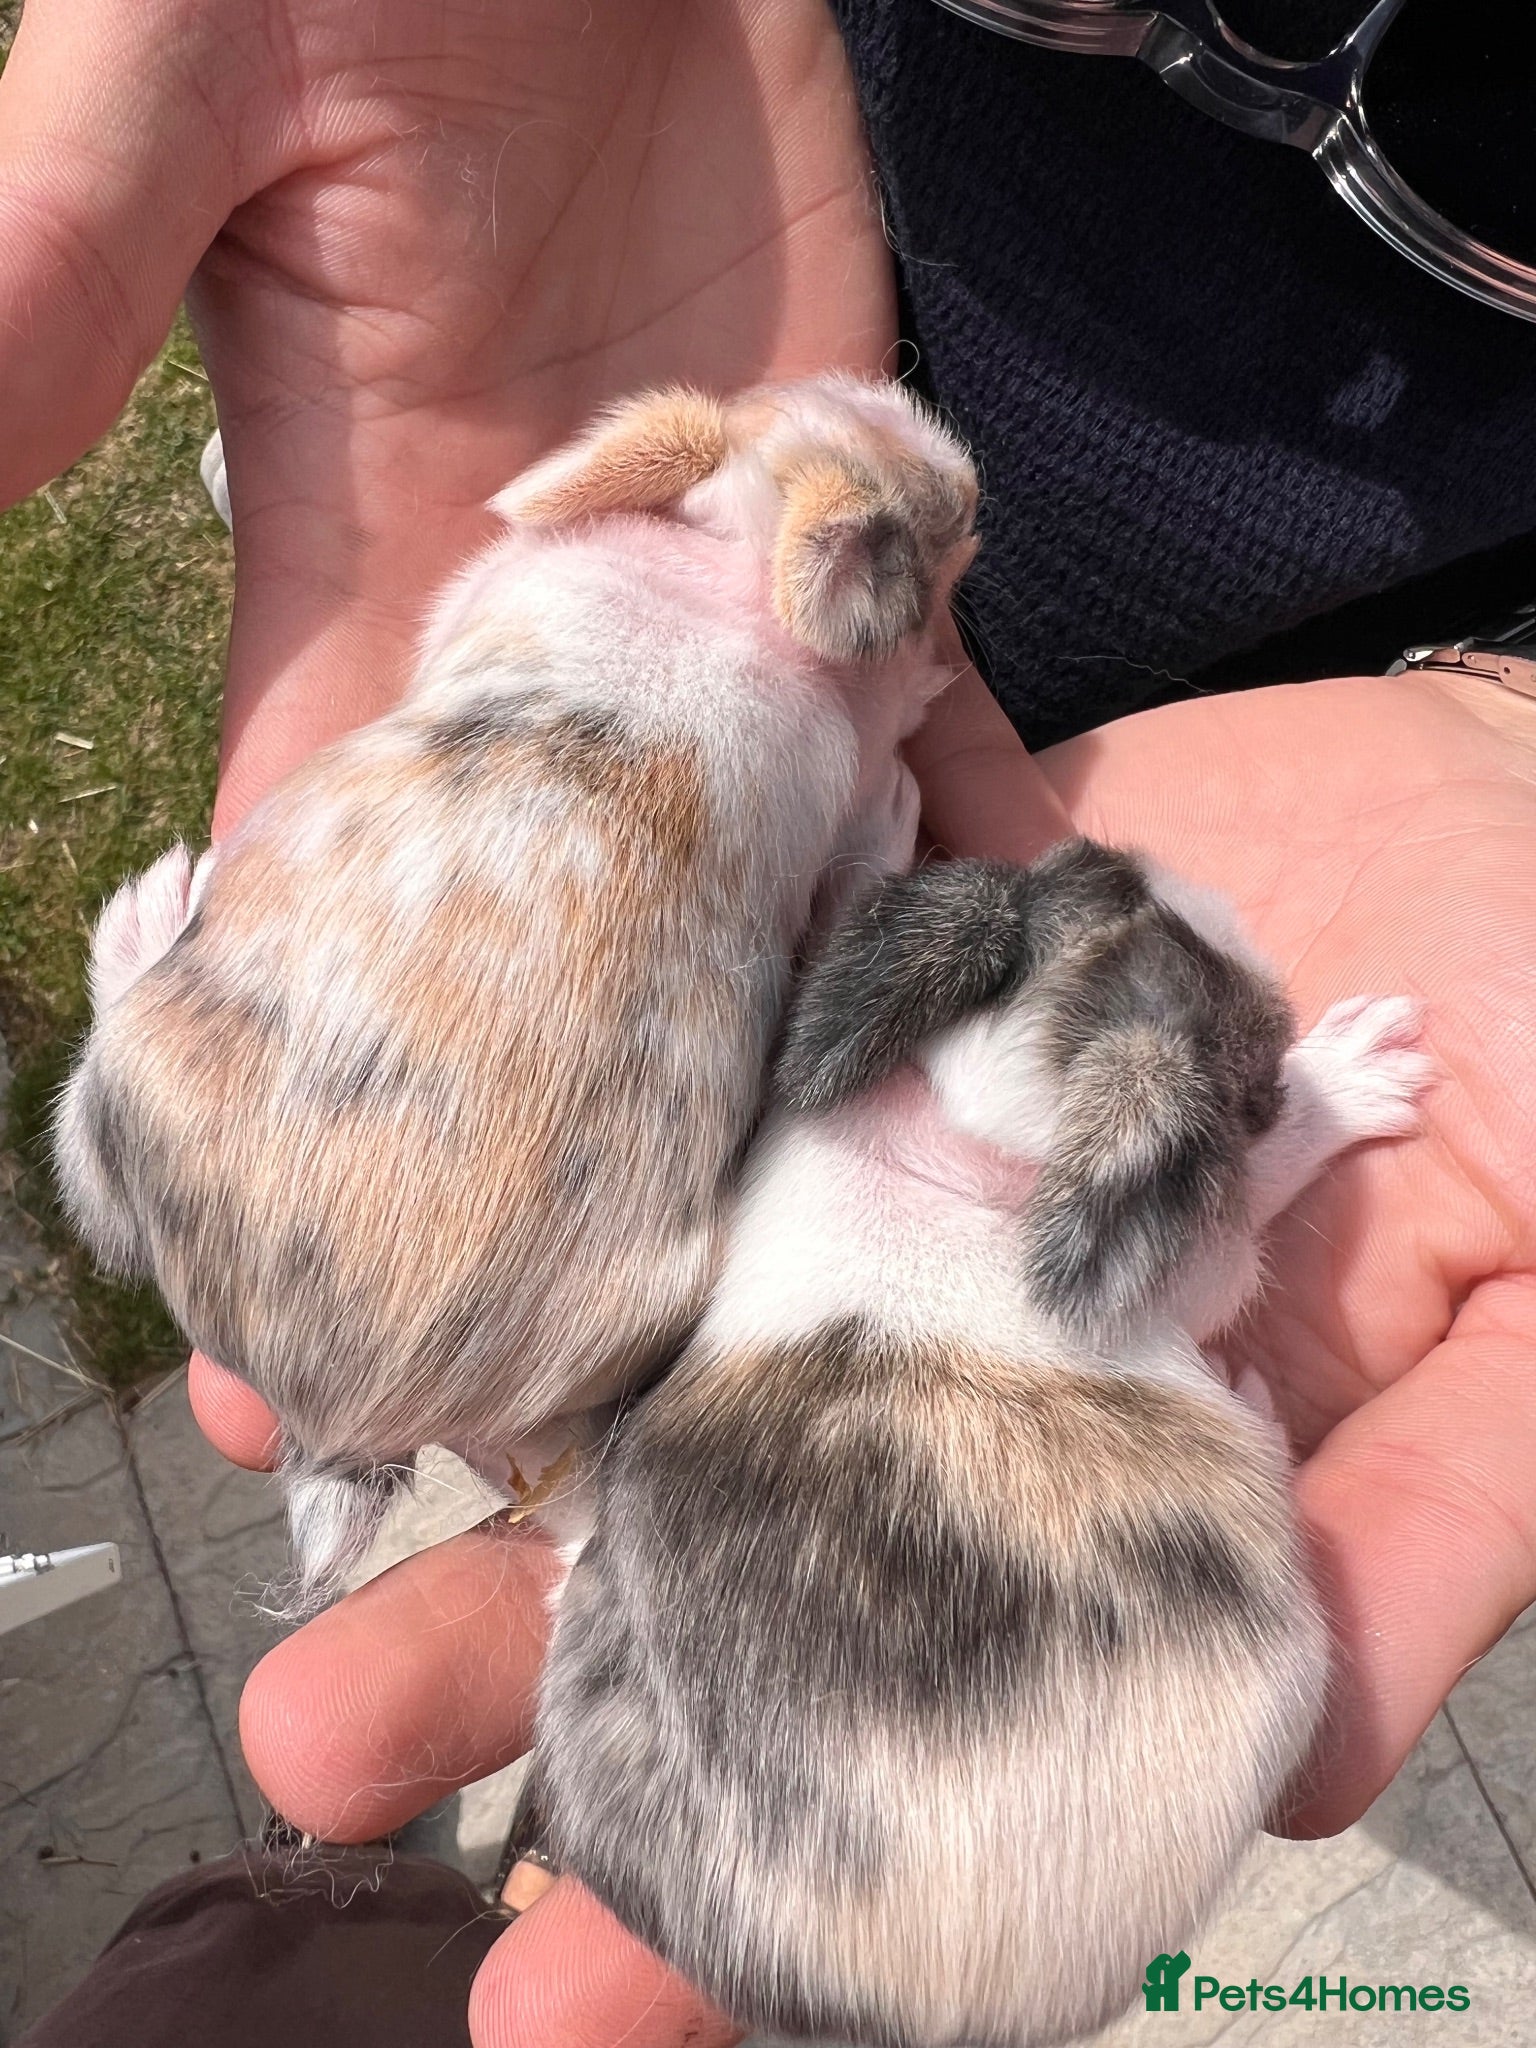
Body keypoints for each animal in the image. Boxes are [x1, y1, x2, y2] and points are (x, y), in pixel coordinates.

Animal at [52, 374, 979, 1602]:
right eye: (944, 530)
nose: (971, 479)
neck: (740, 580)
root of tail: (337, 1420)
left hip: (104, 1105)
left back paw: (151, 901)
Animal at [536, 838, 1433, 2048]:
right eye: (1255, 1078)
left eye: (1082, 867)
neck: (960, 1139)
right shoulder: (1204, 1265)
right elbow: (1254, 1206)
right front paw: (1348, 1078)